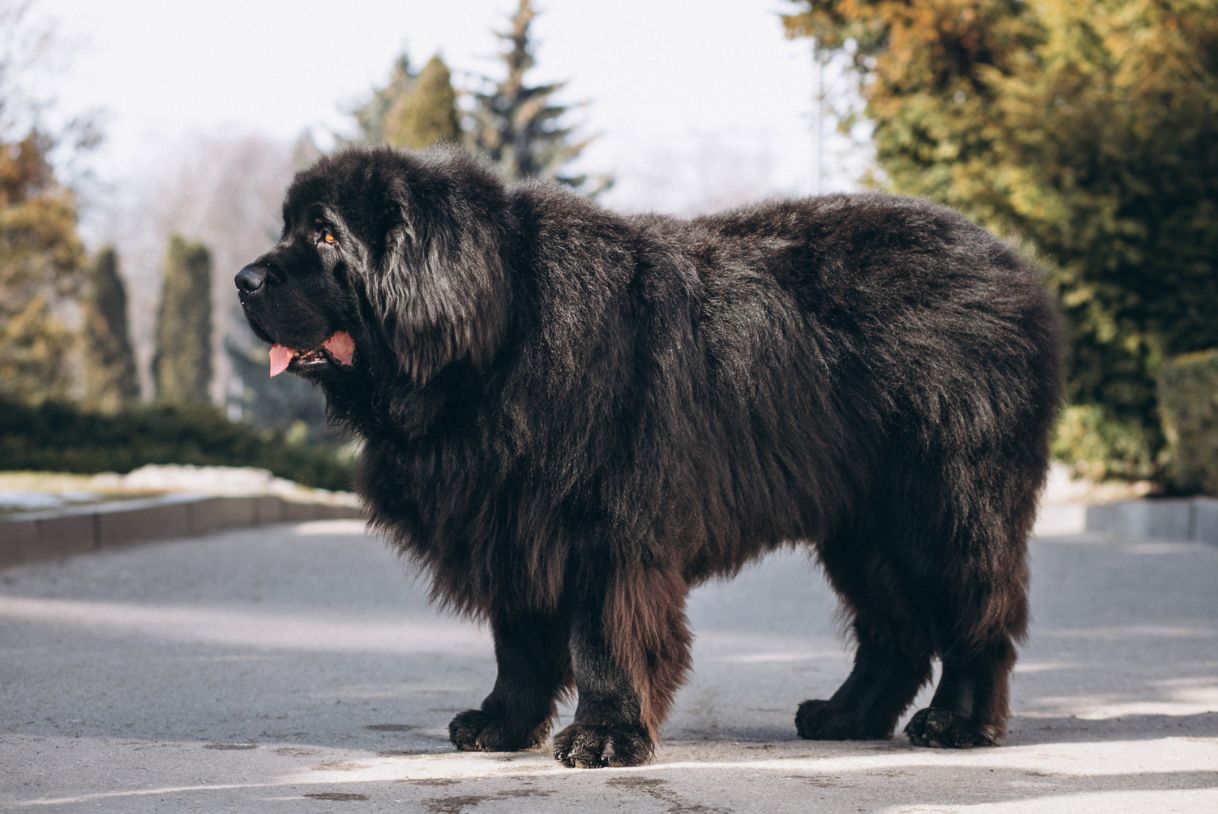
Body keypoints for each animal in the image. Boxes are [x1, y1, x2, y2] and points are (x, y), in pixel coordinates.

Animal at [235, 148, 1057, 770]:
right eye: (289, 230)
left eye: (328, 238)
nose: (243, 280)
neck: (499, 335)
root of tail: (1016, 270)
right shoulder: (512, 521)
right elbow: (520, 643)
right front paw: (501, 724)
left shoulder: (604, 527)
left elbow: (602, 635)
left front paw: (604, 736)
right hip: (862, 522)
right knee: (895, 628)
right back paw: (846, 715)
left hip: (946, 503)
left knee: (973, 613)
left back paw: (956, 723)